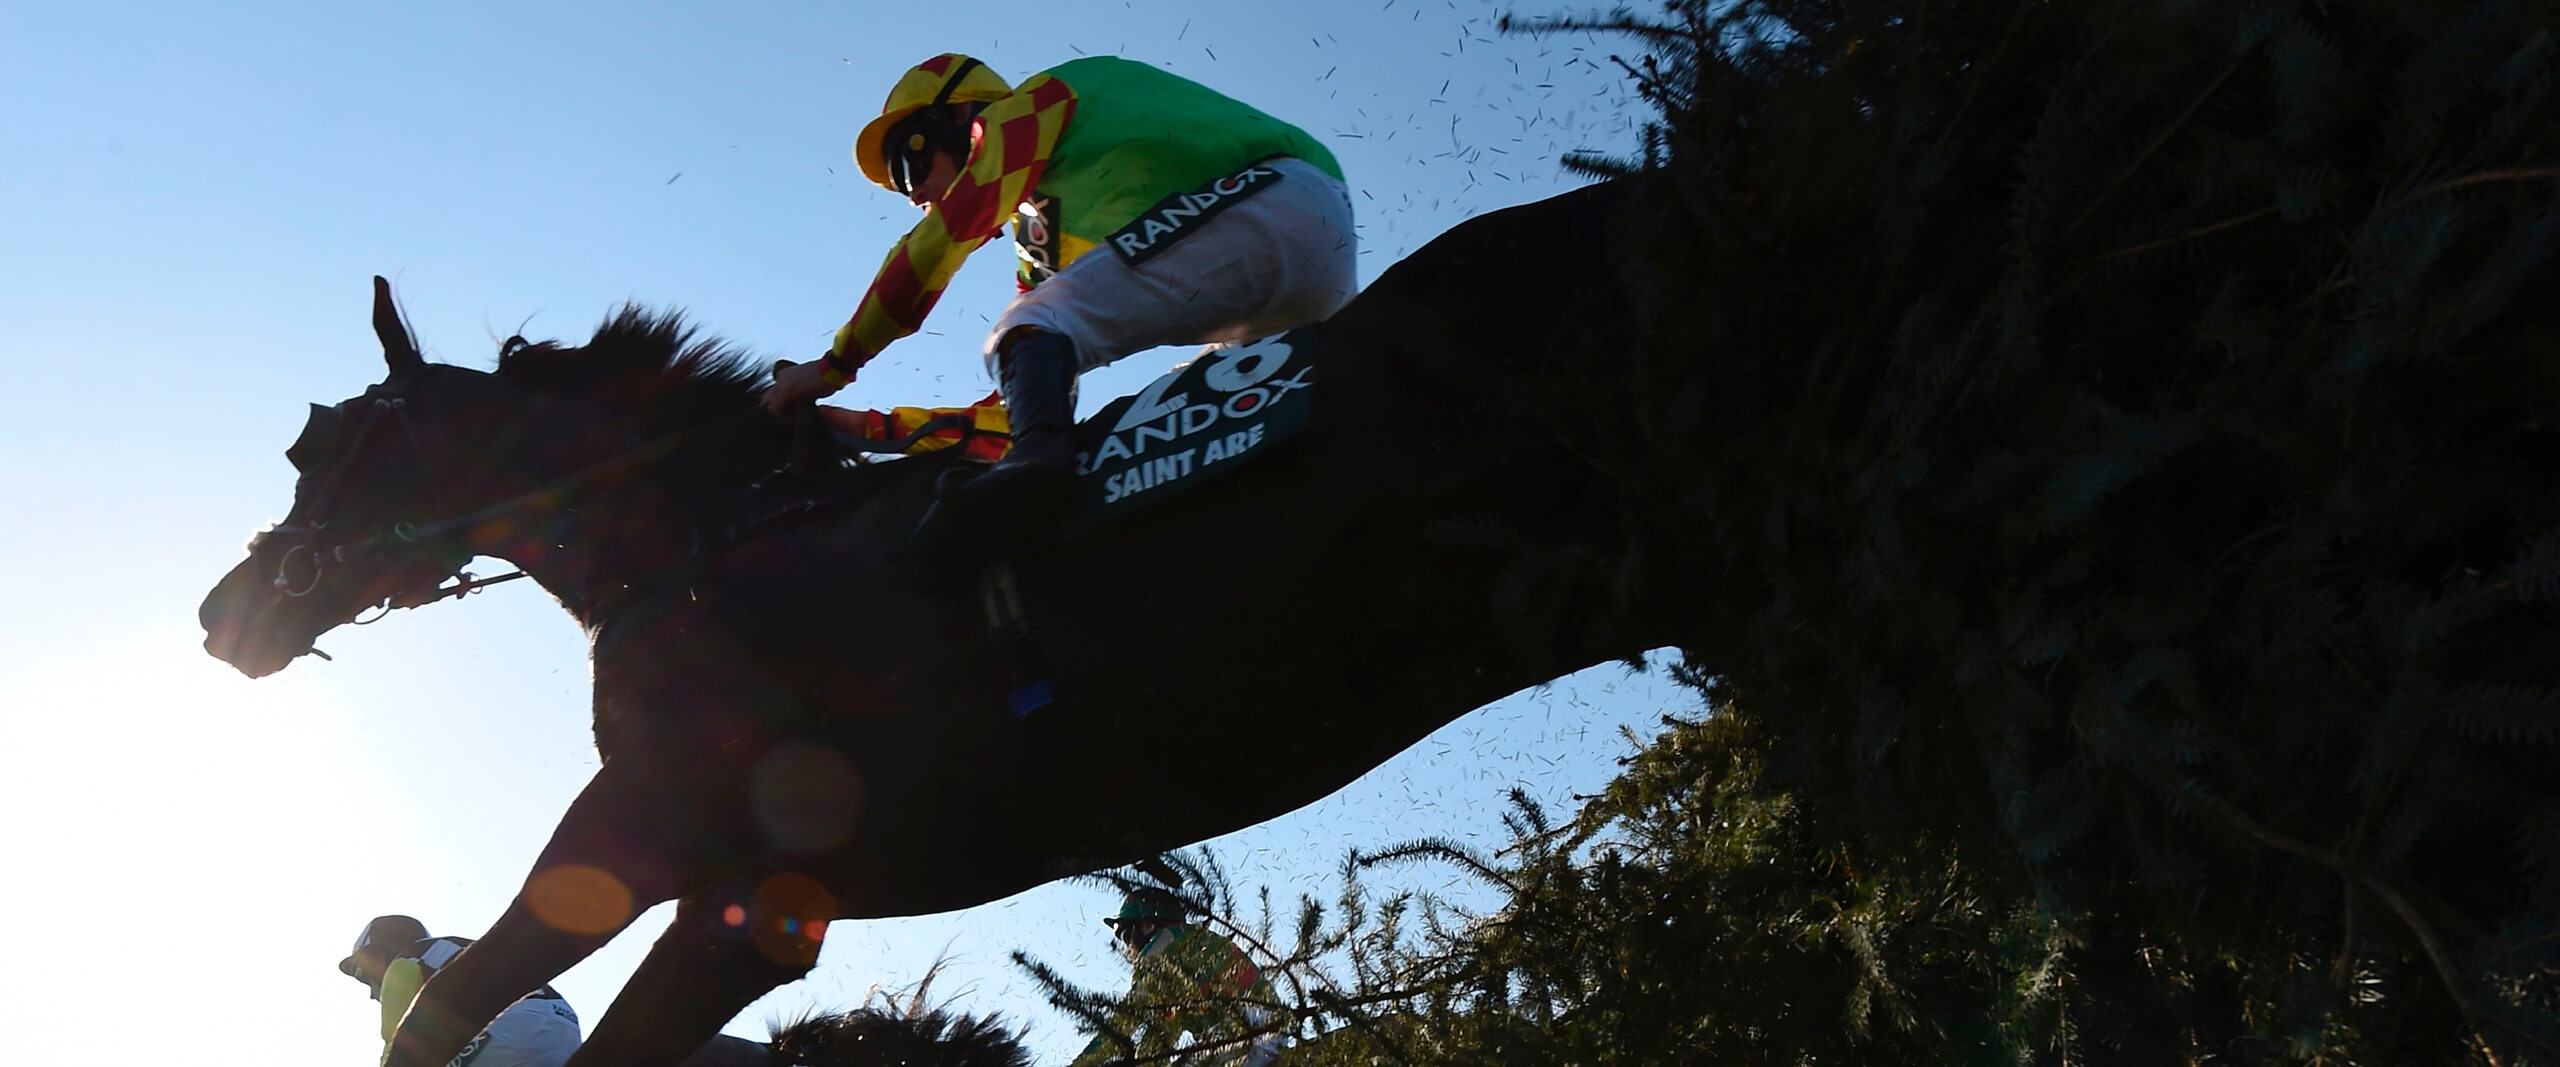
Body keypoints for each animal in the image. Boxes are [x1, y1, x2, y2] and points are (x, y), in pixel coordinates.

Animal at [200, 180, 1672, 1067]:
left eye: (313, 446)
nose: (228, 611)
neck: (708, 544)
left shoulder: (653, 833)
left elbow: (455, 1007)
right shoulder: (757, 913)